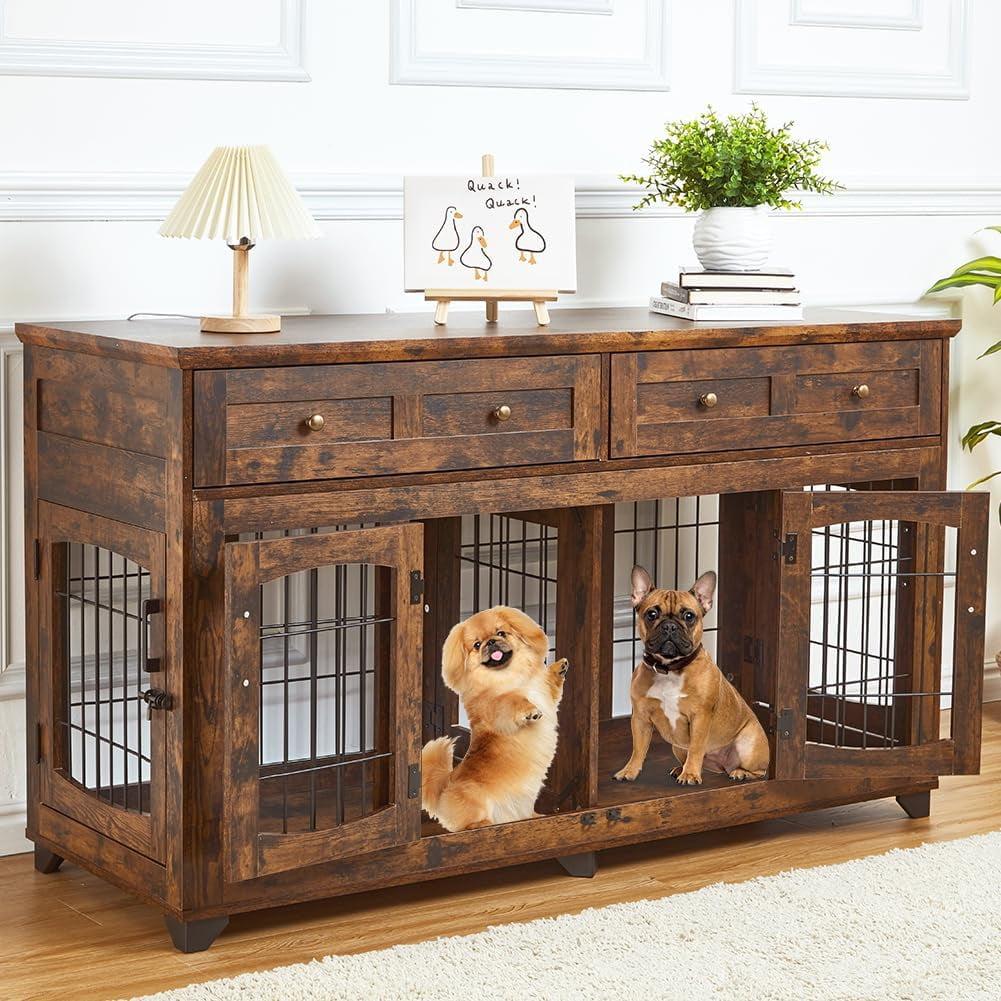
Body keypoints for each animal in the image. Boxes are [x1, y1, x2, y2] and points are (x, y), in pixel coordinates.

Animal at [418, 604, 568, 832]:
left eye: (501, 633)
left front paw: (559, 667)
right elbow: (510, 700)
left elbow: (550, 684)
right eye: (477, 645)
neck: (508, 675)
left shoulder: (545, 693)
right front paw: (529, 710)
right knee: (466, 825)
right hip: (477, 801)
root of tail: (445, 786)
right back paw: (483, 825)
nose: (491, 642)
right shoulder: (494, 706)